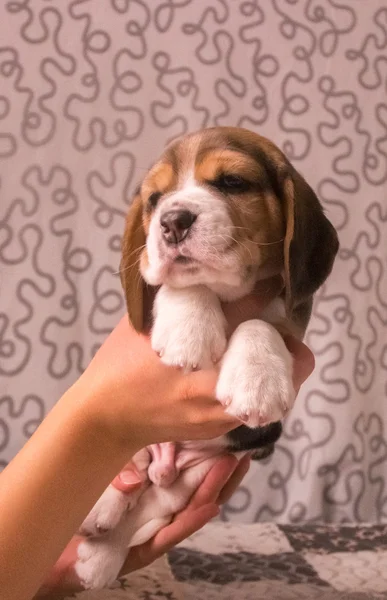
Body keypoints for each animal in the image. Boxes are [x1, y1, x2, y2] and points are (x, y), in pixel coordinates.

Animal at [73, 127, 340, 592]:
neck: (229, 293)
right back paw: (97, 508)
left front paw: (256, 381)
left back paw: (99, 555)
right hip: (138, 438)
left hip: (201, 473)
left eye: (233, 182)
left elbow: (259, 324)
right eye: (154, 199)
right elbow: (181, 283)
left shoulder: (292, 324)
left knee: (150, 501)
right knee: (126, 468)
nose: (172, 221)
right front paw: (188, 330)